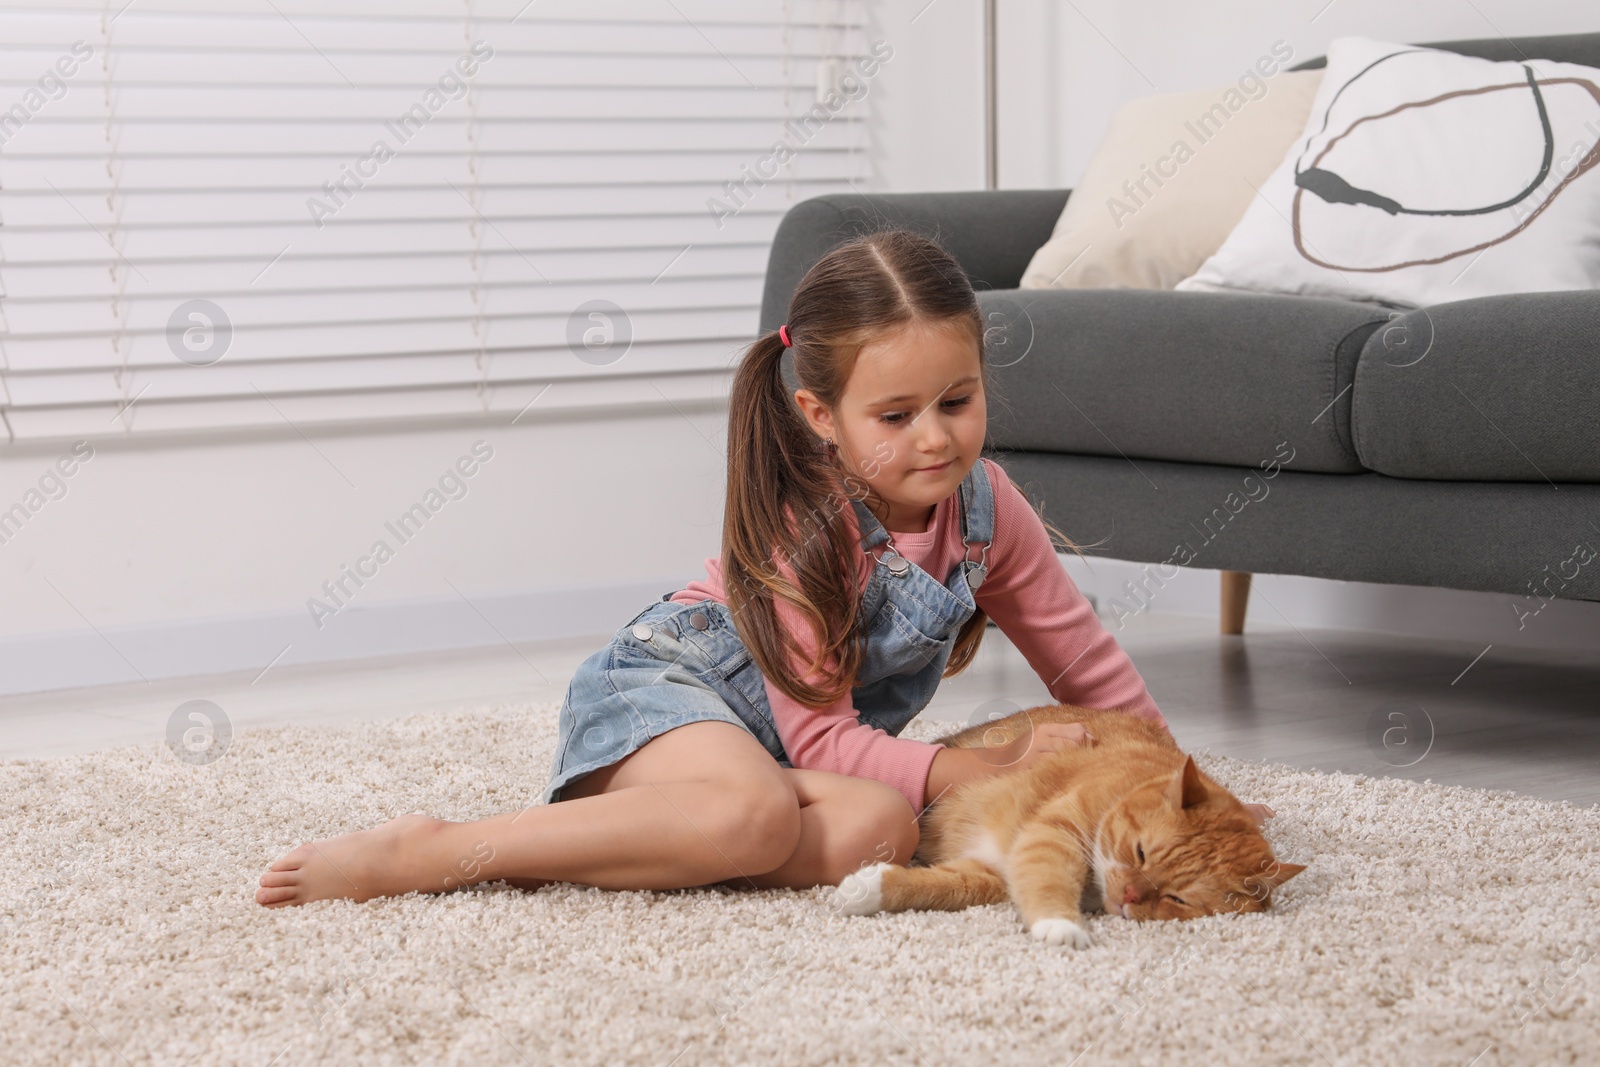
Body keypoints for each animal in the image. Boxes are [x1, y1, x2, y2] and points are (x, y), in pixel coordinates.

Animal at [832, 703, 1305, 947]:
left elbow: (946, 887)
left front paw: (867, 888)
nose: (1130, 896)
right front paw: (1061, 925)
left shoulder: (992, 873)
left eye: (1177, 899)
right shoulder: (1054, 832)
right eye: (1140, 852)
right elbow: (1050, 877)